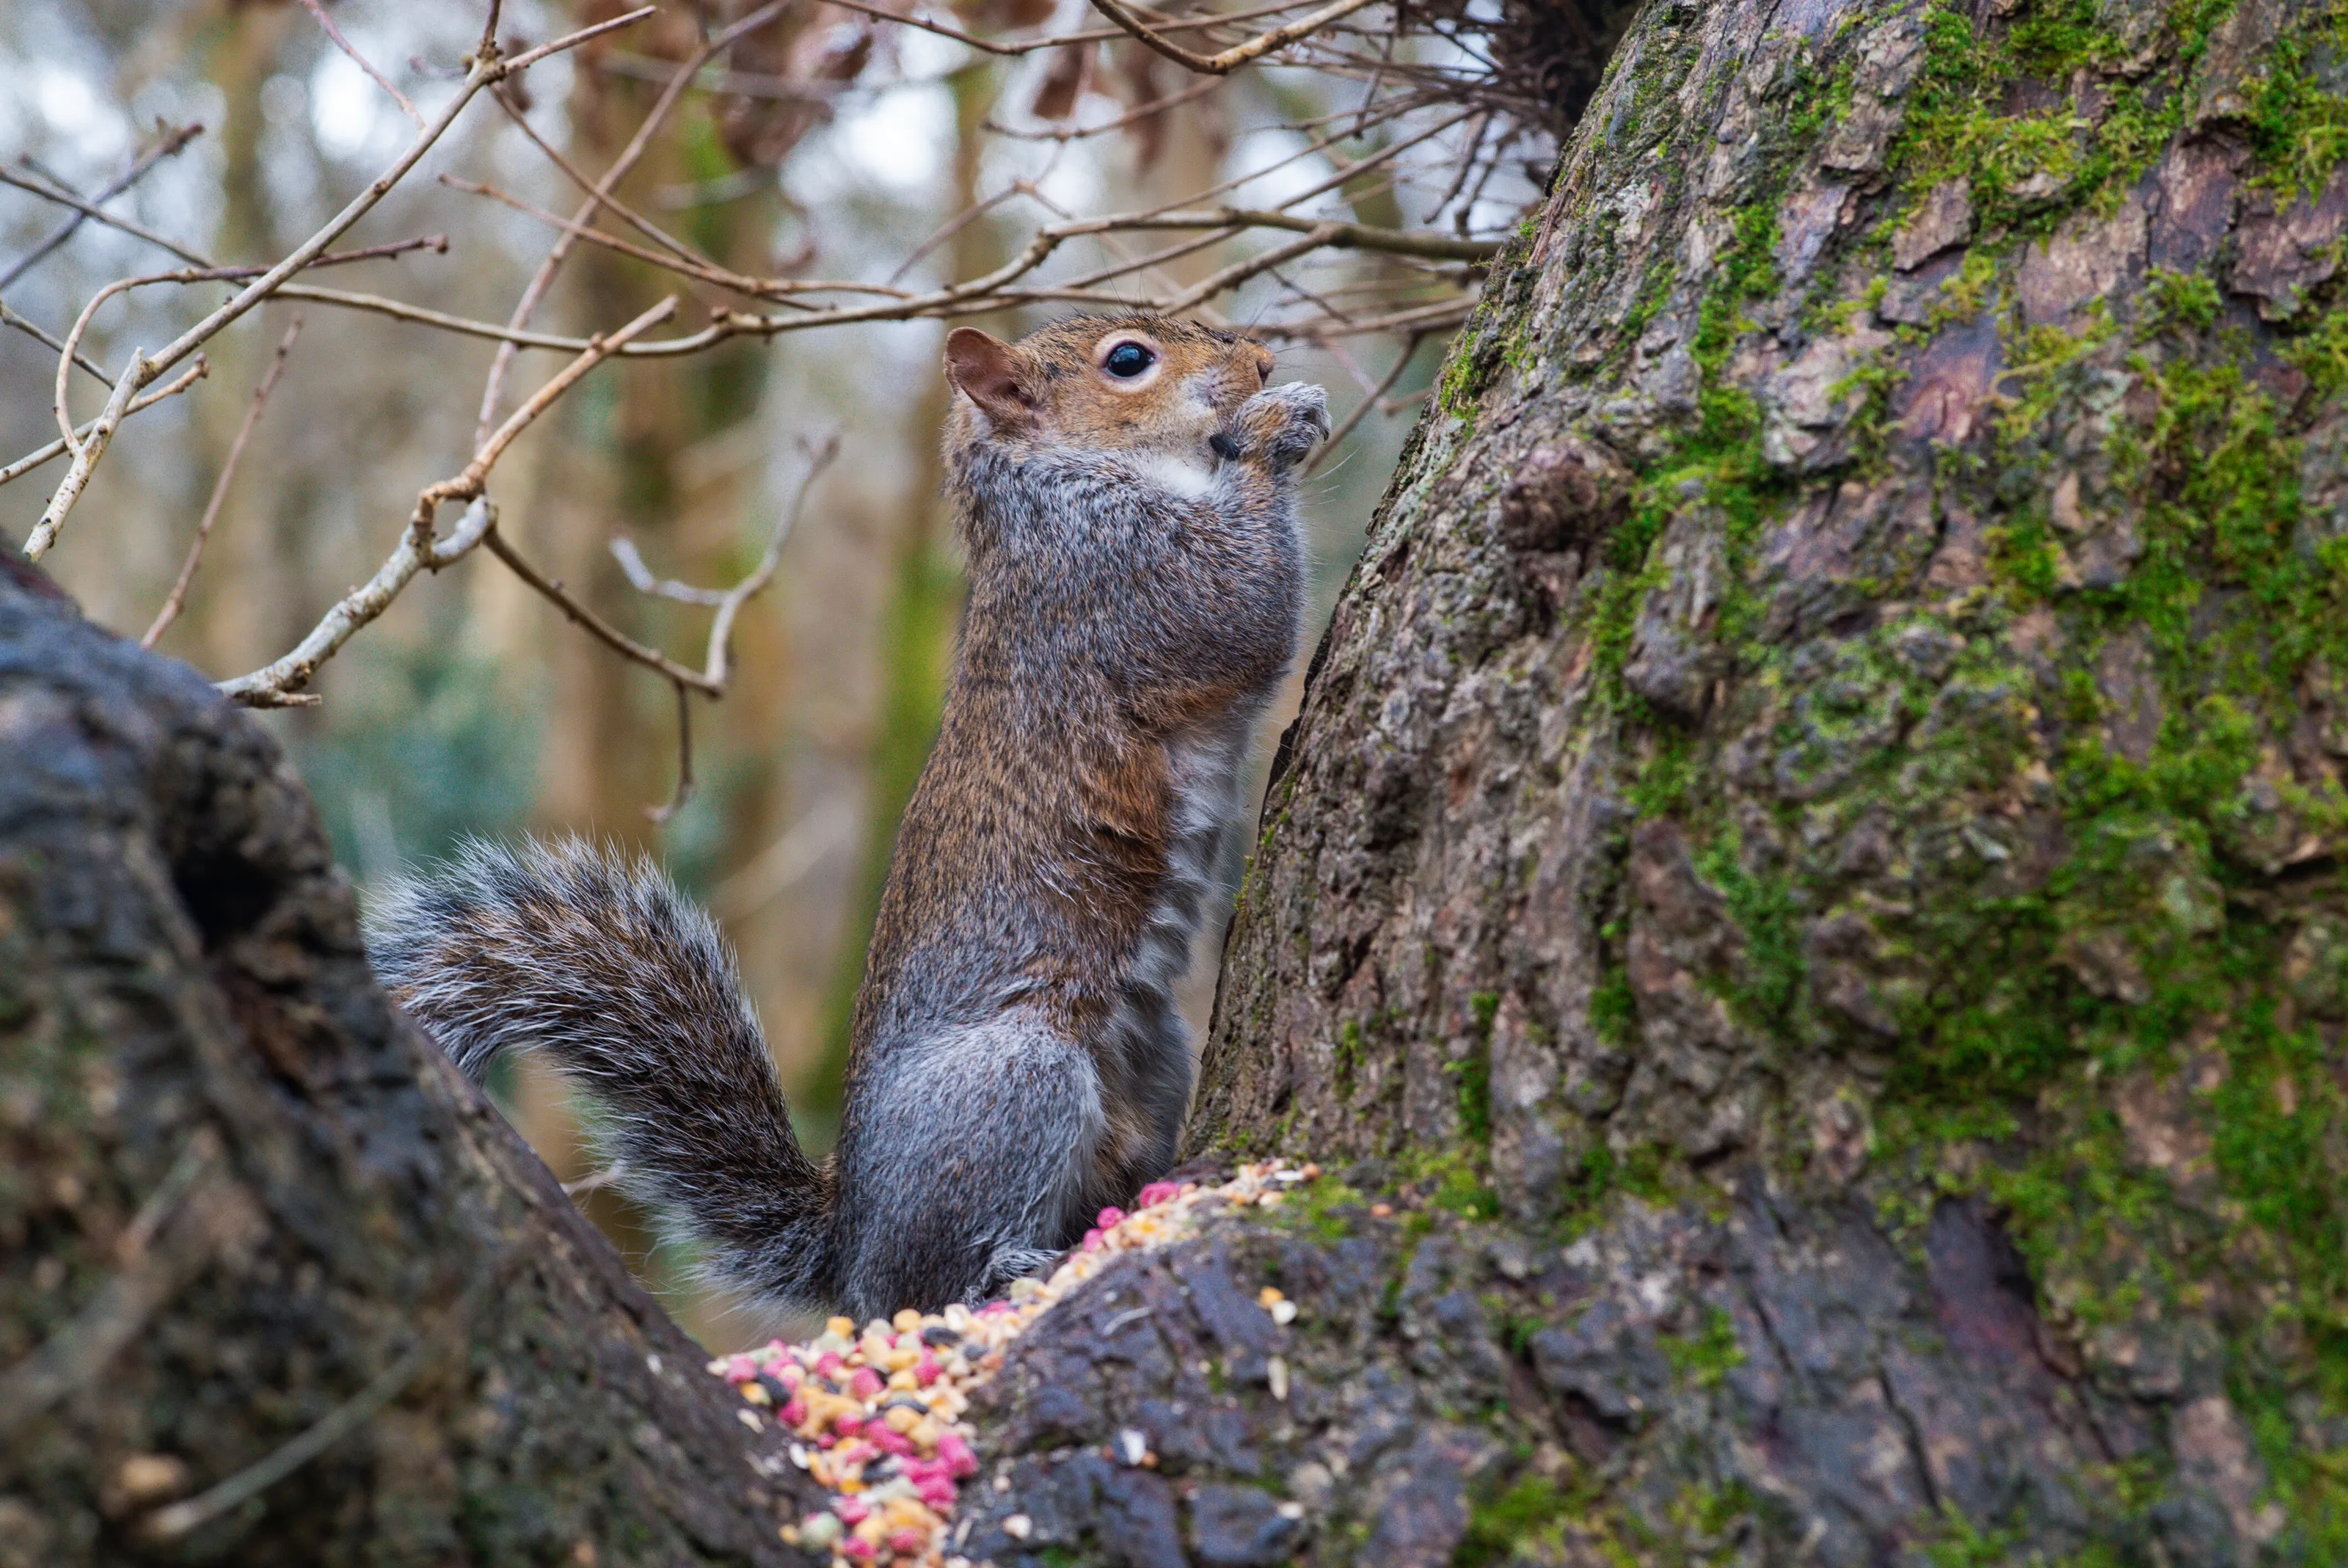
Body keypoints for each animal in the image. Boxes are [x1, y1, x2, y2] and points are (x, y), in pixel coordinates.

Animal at [367, 315, 1328, 1321]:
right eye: (1129, 360)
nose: (1261, 361)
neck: (1055, 491)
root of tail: (849, 1243)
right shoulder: (1124, 581)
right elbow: (1247, 607)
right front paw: (1278, 427)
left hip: (1156, 1057)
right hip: (1016, 1078)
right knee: (930, 1279)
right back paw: (1001, 1268)